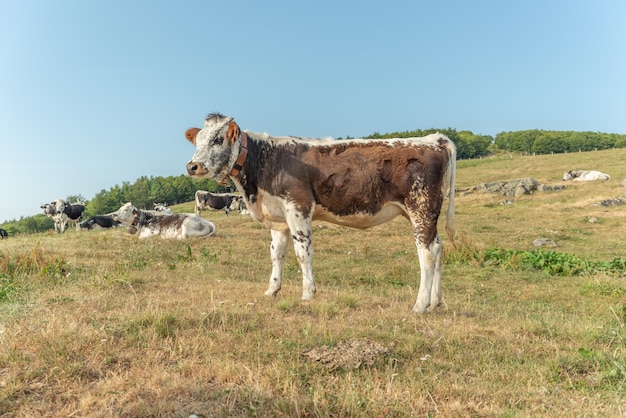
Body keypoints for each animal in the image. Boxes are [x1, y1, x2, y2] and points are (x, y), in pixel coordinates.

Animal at [184, 112, 454, 312]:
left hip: (421, 206)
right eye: (197, 141)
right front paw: (272, 290)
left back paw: (420, 305)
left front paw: (307, 293)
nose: (192, 166)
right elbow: (276, 254)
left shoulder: (298, 206)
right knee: (438, 247)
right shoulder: (278, 218)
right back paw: (435, 301)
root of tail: (433, 139)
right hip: (423, 213)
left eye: (217, 139)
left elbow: (302, 253)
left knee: (427, 254)